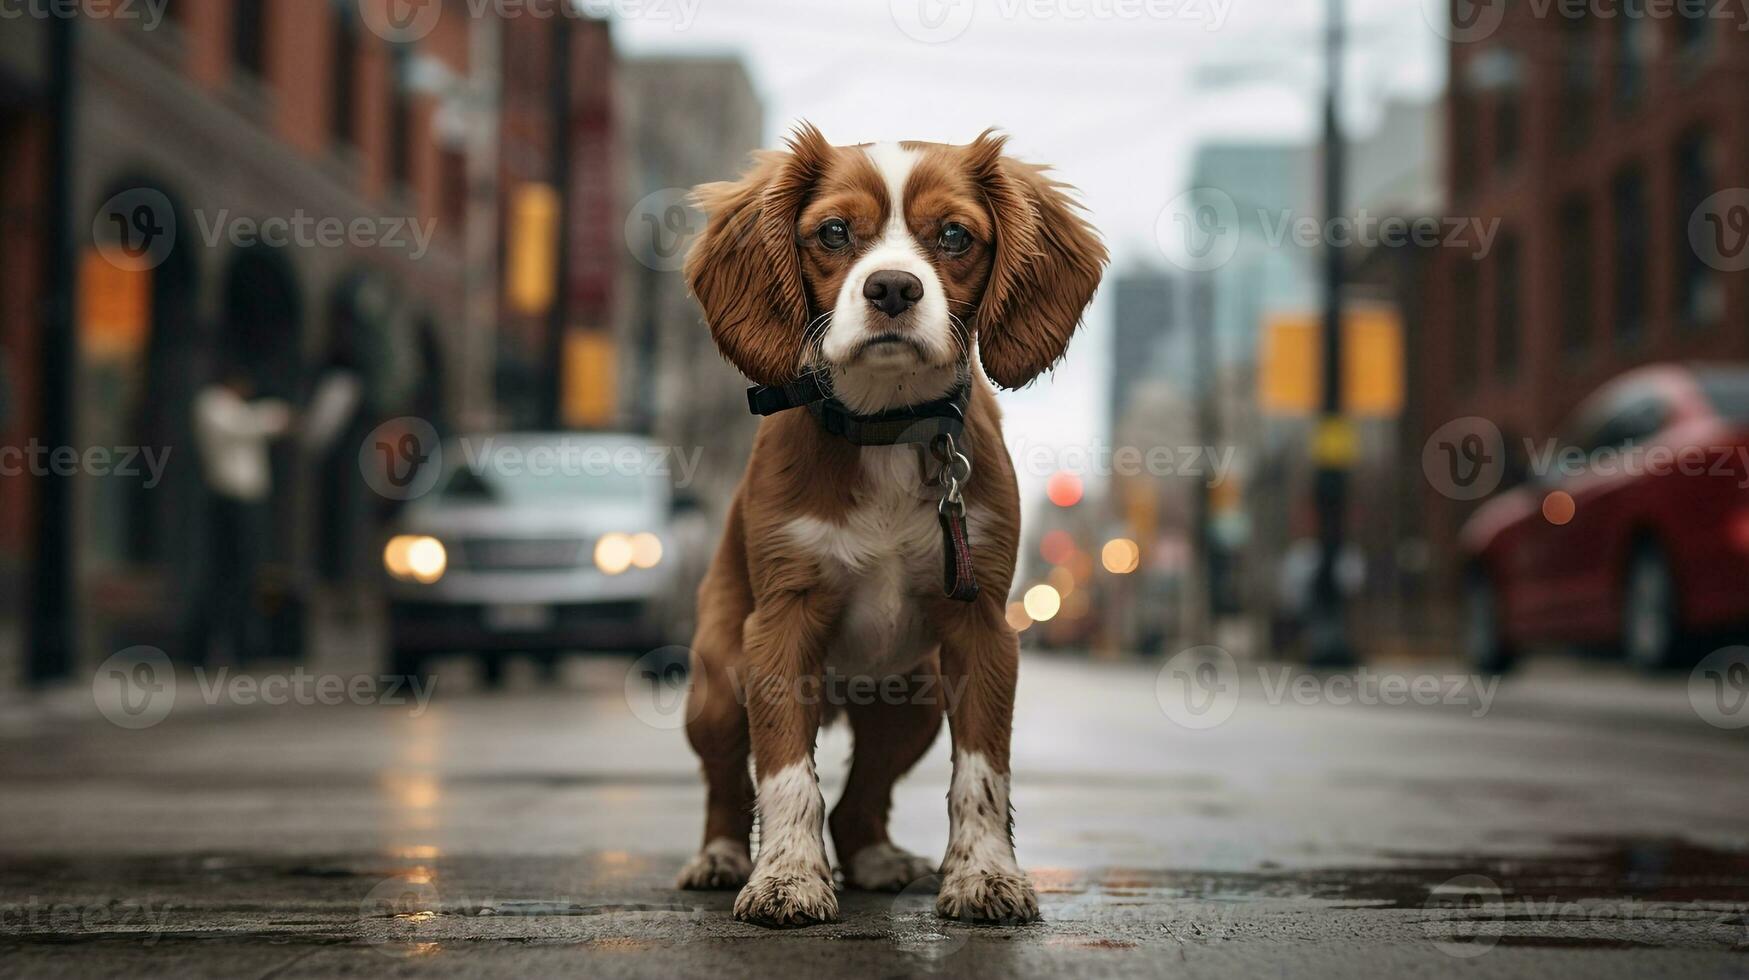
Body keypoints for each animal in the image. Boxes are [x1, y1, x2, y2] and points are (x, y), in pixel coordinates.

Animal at [671, 122, 1098, 924]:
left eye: (955, 236)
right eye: (834, 232)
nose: (893, 287)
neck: (887, 425)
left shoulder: (981, 628)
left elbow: (982, 773)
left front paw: (984, 876)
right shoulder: (780, 627)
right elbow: (785, 776)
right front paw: (786, 879)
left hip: (913, 703)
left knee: (859, 798)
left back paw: (874, 858)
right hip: (716, 684)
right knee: (725, 779)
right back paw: (718, 856)